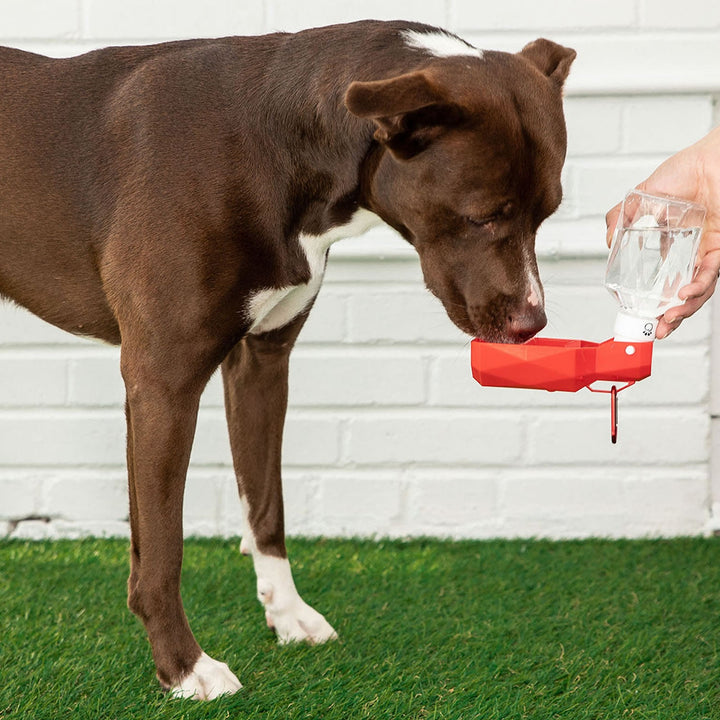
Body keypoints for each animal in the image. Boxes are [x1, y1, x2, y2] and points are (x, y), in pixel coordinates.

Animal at [0, 21, 572, 696]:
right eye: (481, 215)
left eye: (547, 213)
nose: (532, 324)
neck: (283, 143)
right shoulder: (161, 382)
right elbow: (162, 549)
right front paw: (184, 667)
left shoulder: (261, 362)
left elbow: (265, 505)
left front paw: (288, 613)